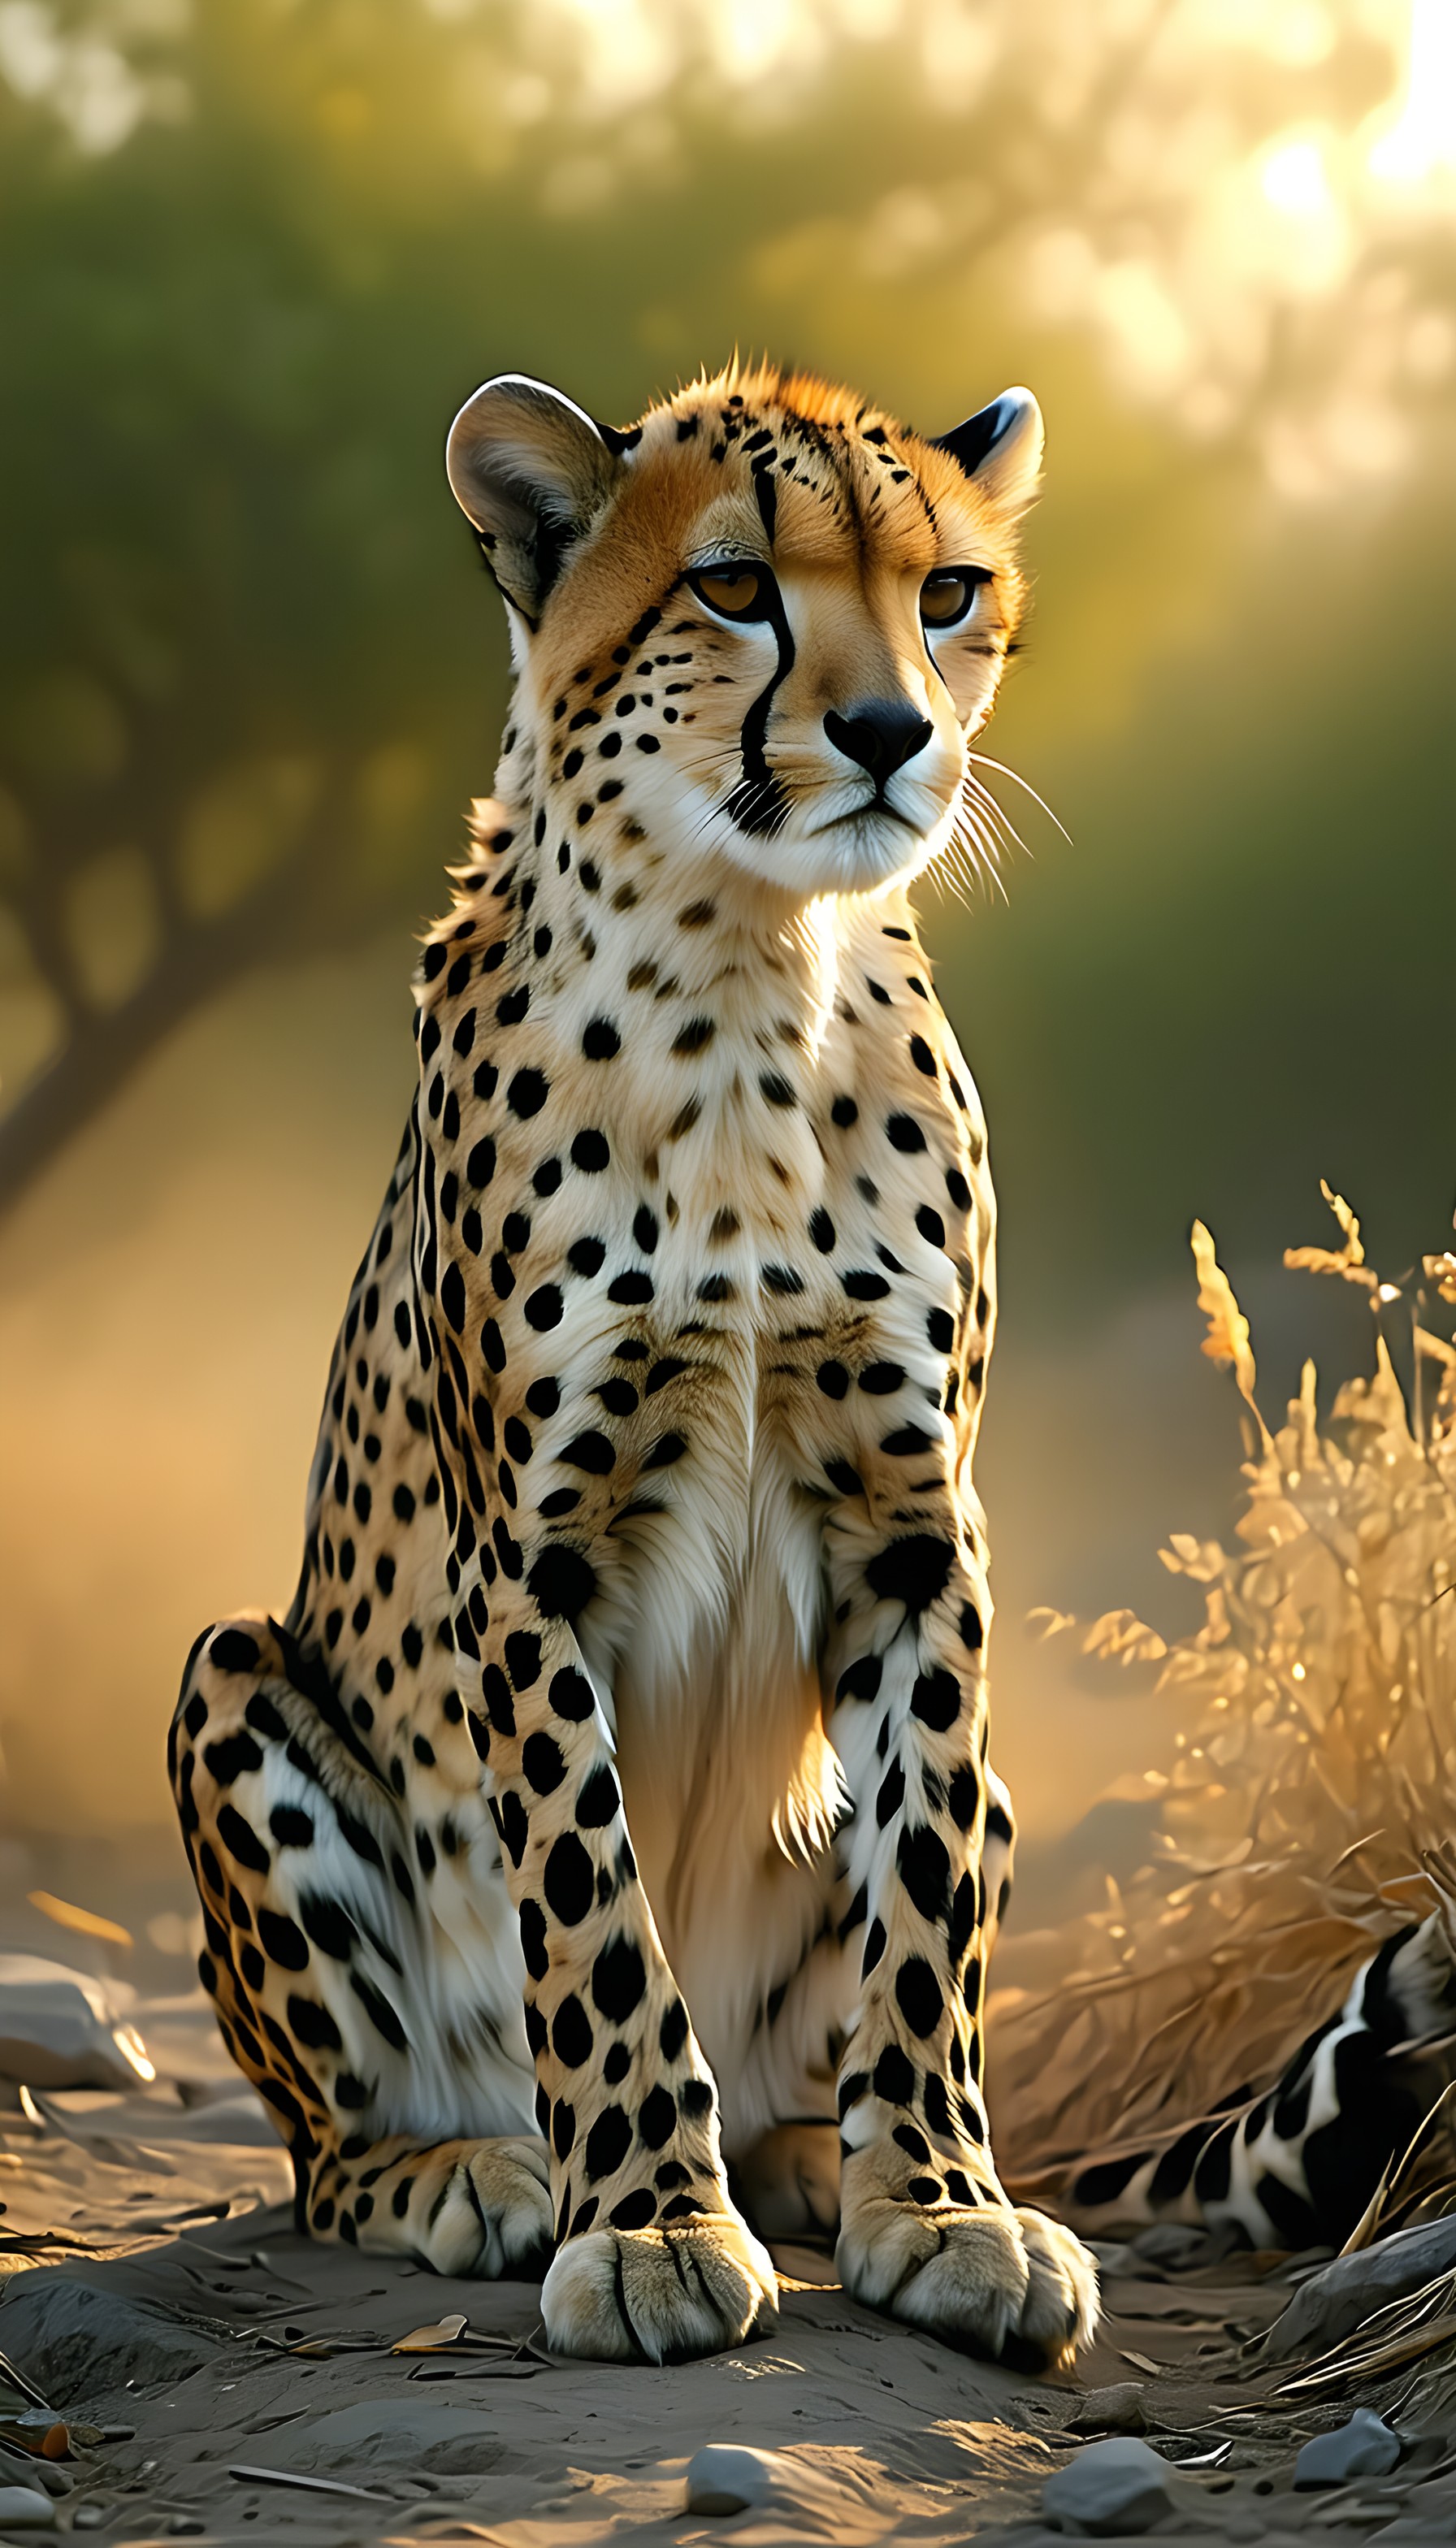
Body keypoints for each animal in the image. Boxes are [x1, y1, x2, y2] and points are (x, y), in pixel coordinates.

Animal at [167, 356, 1101, 2370]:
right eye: (734, 586)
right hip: (232, 1680)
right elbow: (590, 1903)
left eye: (944, 591)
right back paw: (472, 2167)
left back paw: (812, 2150)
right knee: (326, 2145)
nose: (890, 731)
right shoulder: (536, 1549)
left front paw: (941, 2201)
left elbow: (921, 1886)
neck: (749, 971)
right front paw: (652, 2222)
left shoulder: (919, 1525)